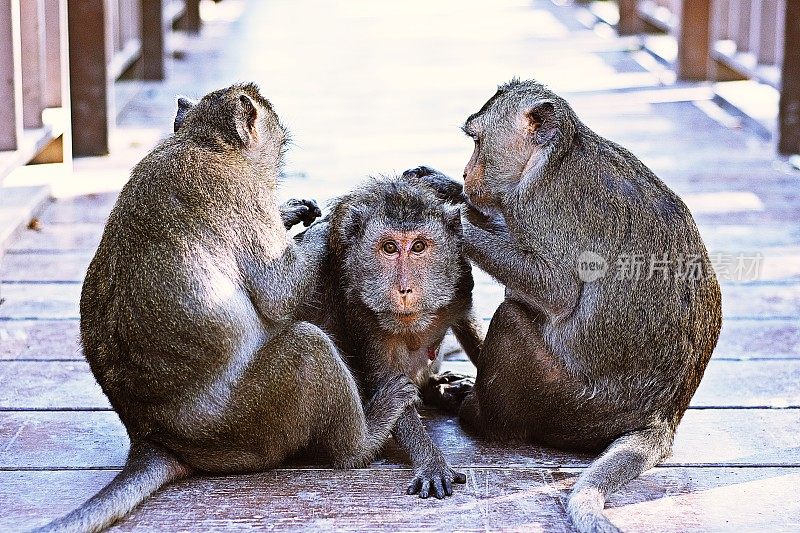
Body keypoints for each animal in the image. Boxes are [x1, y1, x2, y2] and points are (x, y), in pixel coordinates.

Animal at [34, 83, 416, 532]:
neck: (203, 142)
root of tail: (153, 437)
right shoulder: (241, 196)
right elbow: (283, 293)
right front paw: (336, 221)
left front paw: (291, 212)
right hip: (247, 423)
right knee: (308, 346)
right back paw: (363, 440)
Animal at [296, 176, 478, 498]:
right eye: (390, 248)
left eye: (418, 247)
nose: (404, 289)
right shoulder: (359, 308)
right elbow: (385, 379)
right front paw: (430, 460)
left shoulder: (460, 283)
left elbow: (468, 325)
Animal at [410, 79, 720, 532]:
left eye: (478, 141)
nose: (467, 173)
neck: (553, 156)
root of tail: (664, 416)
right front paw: (440, 185)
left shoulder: (541, 204)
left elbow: (558, 290)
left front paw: (450, 217)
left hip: (566, 403)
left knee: (513, 316)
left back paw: (480, 417)